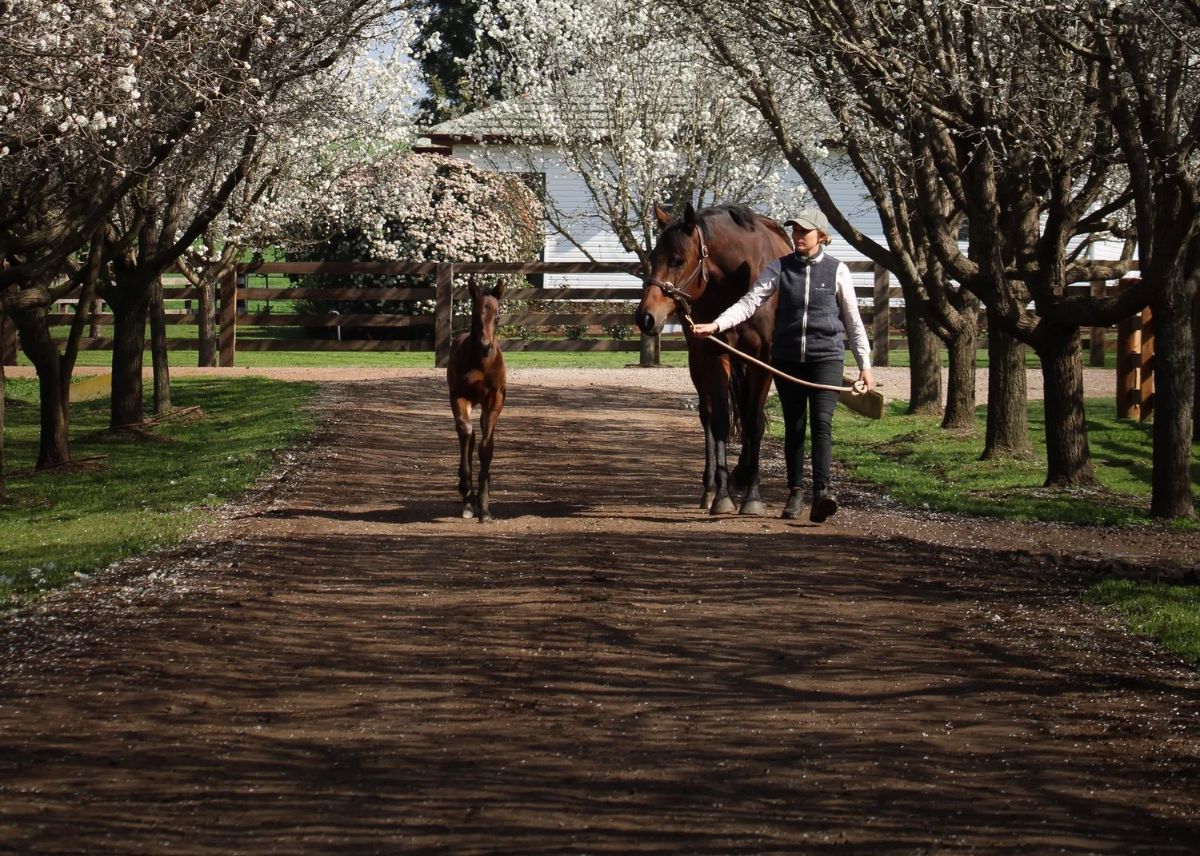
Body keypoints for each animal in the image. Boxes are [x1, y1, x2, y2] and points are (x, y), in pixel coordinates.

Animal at [634, 202, 792, 515]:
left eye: (678, 260)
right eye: (653, 258)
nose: (645, 317)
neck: (742, 279)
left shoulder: (763, 358)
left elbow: (754, 421)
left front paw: (752, 495)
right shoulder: (715, 352)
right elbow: (719, 419)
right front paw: (722, 496)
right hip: (698, 357)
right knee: (707, 412)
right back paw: (710, 488)